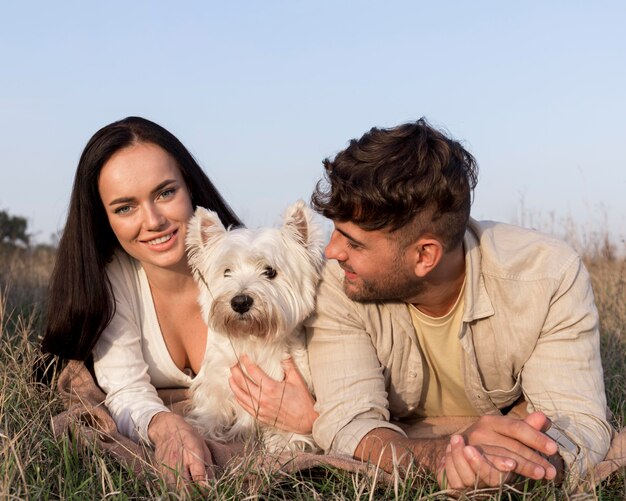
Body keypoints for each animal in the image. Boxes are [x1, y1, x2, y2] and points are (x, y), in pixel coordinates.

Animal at [184, 200, 322, 454]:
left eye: (270, 271)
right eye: (227, 272)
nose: (239, 302)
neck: (253, 340)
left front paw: (285, 443)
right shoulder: (218, 378)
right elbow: (213, 406)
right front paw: (205, 427)